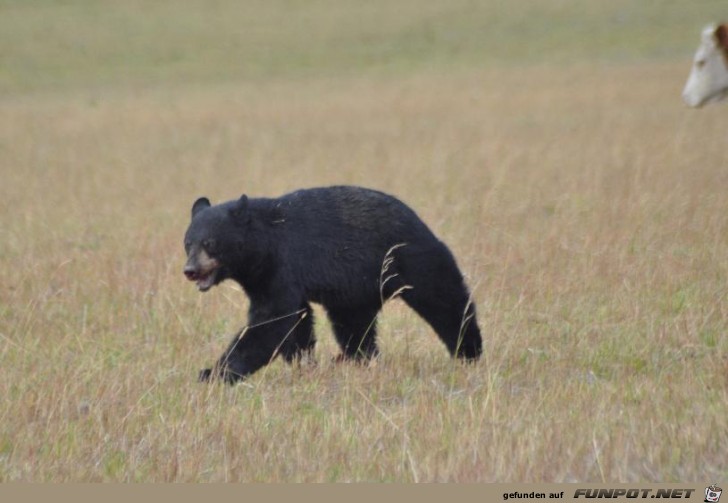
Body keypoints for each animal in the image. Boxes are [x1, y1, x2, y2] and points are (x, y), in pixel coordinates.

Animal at [182, 187, 480, 384]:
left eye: (210, 243)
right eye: (188, 243)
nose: (190, 271)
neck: (261, 246)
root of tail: (419, 221)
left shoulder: (282, 264)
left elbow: (272, 320)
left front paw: (213, 373)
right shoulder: (260, 277)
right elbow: (296, 320)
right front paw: (303, 362)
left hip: (411, 259)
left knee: (444, 300)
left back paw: (469, 351)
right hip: (357, 289)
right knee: (355, 325)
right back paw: (358, 358)